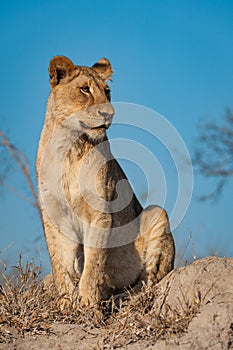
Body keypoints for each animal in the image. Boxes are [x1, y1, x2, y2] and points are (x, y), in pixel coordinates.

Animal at [36, 54, 175, 306]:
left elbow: (93, 265)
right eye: (85, 89)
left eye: (107, 91)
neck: (70, 146)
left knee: (150, 281)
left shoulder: (100, 212)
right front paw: (65, 304)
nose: (108, 114)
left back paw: (124, 298)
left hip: (157, 213)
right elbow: (61, 267)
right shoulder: (54, 215)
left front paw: (89, 307)